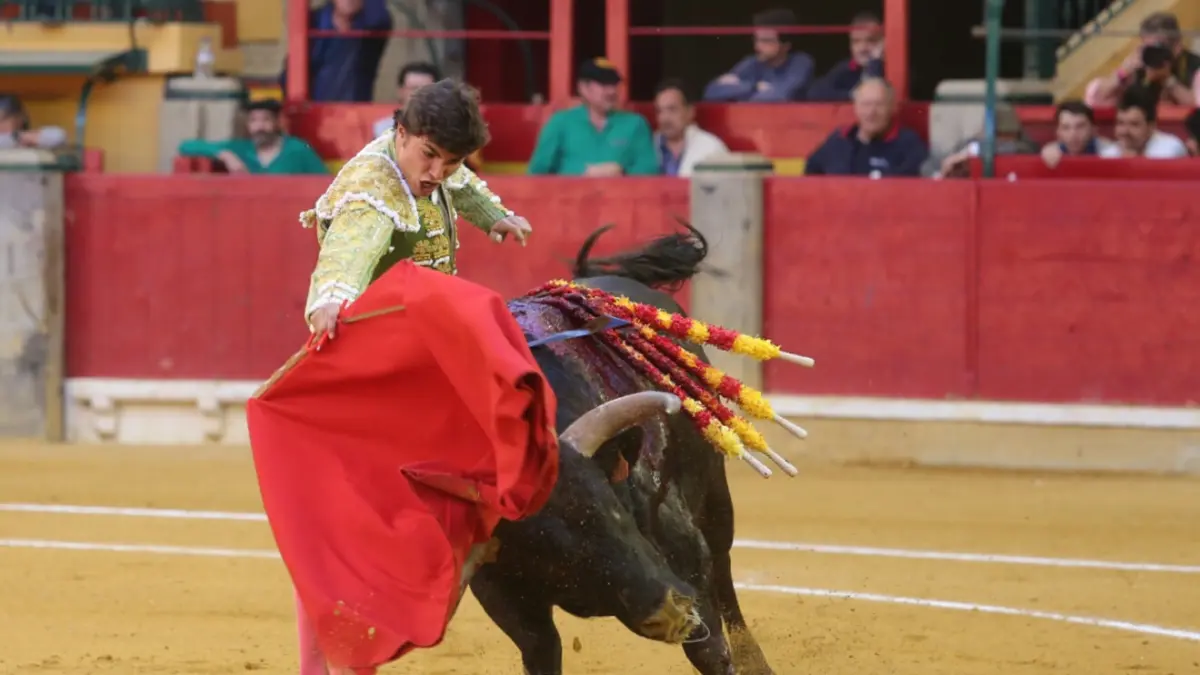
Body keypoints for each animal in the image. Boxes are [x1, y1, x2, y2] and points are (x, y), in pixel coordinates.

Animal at [469, 222, 774, 675]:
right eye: (539, 542)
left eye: (612, 512)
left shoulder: (683, 547)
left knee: (723, 567)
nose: (667, 608)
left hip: (716, 499)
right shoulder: (499, 590)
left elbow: (710, 649)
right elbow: (542, 649)